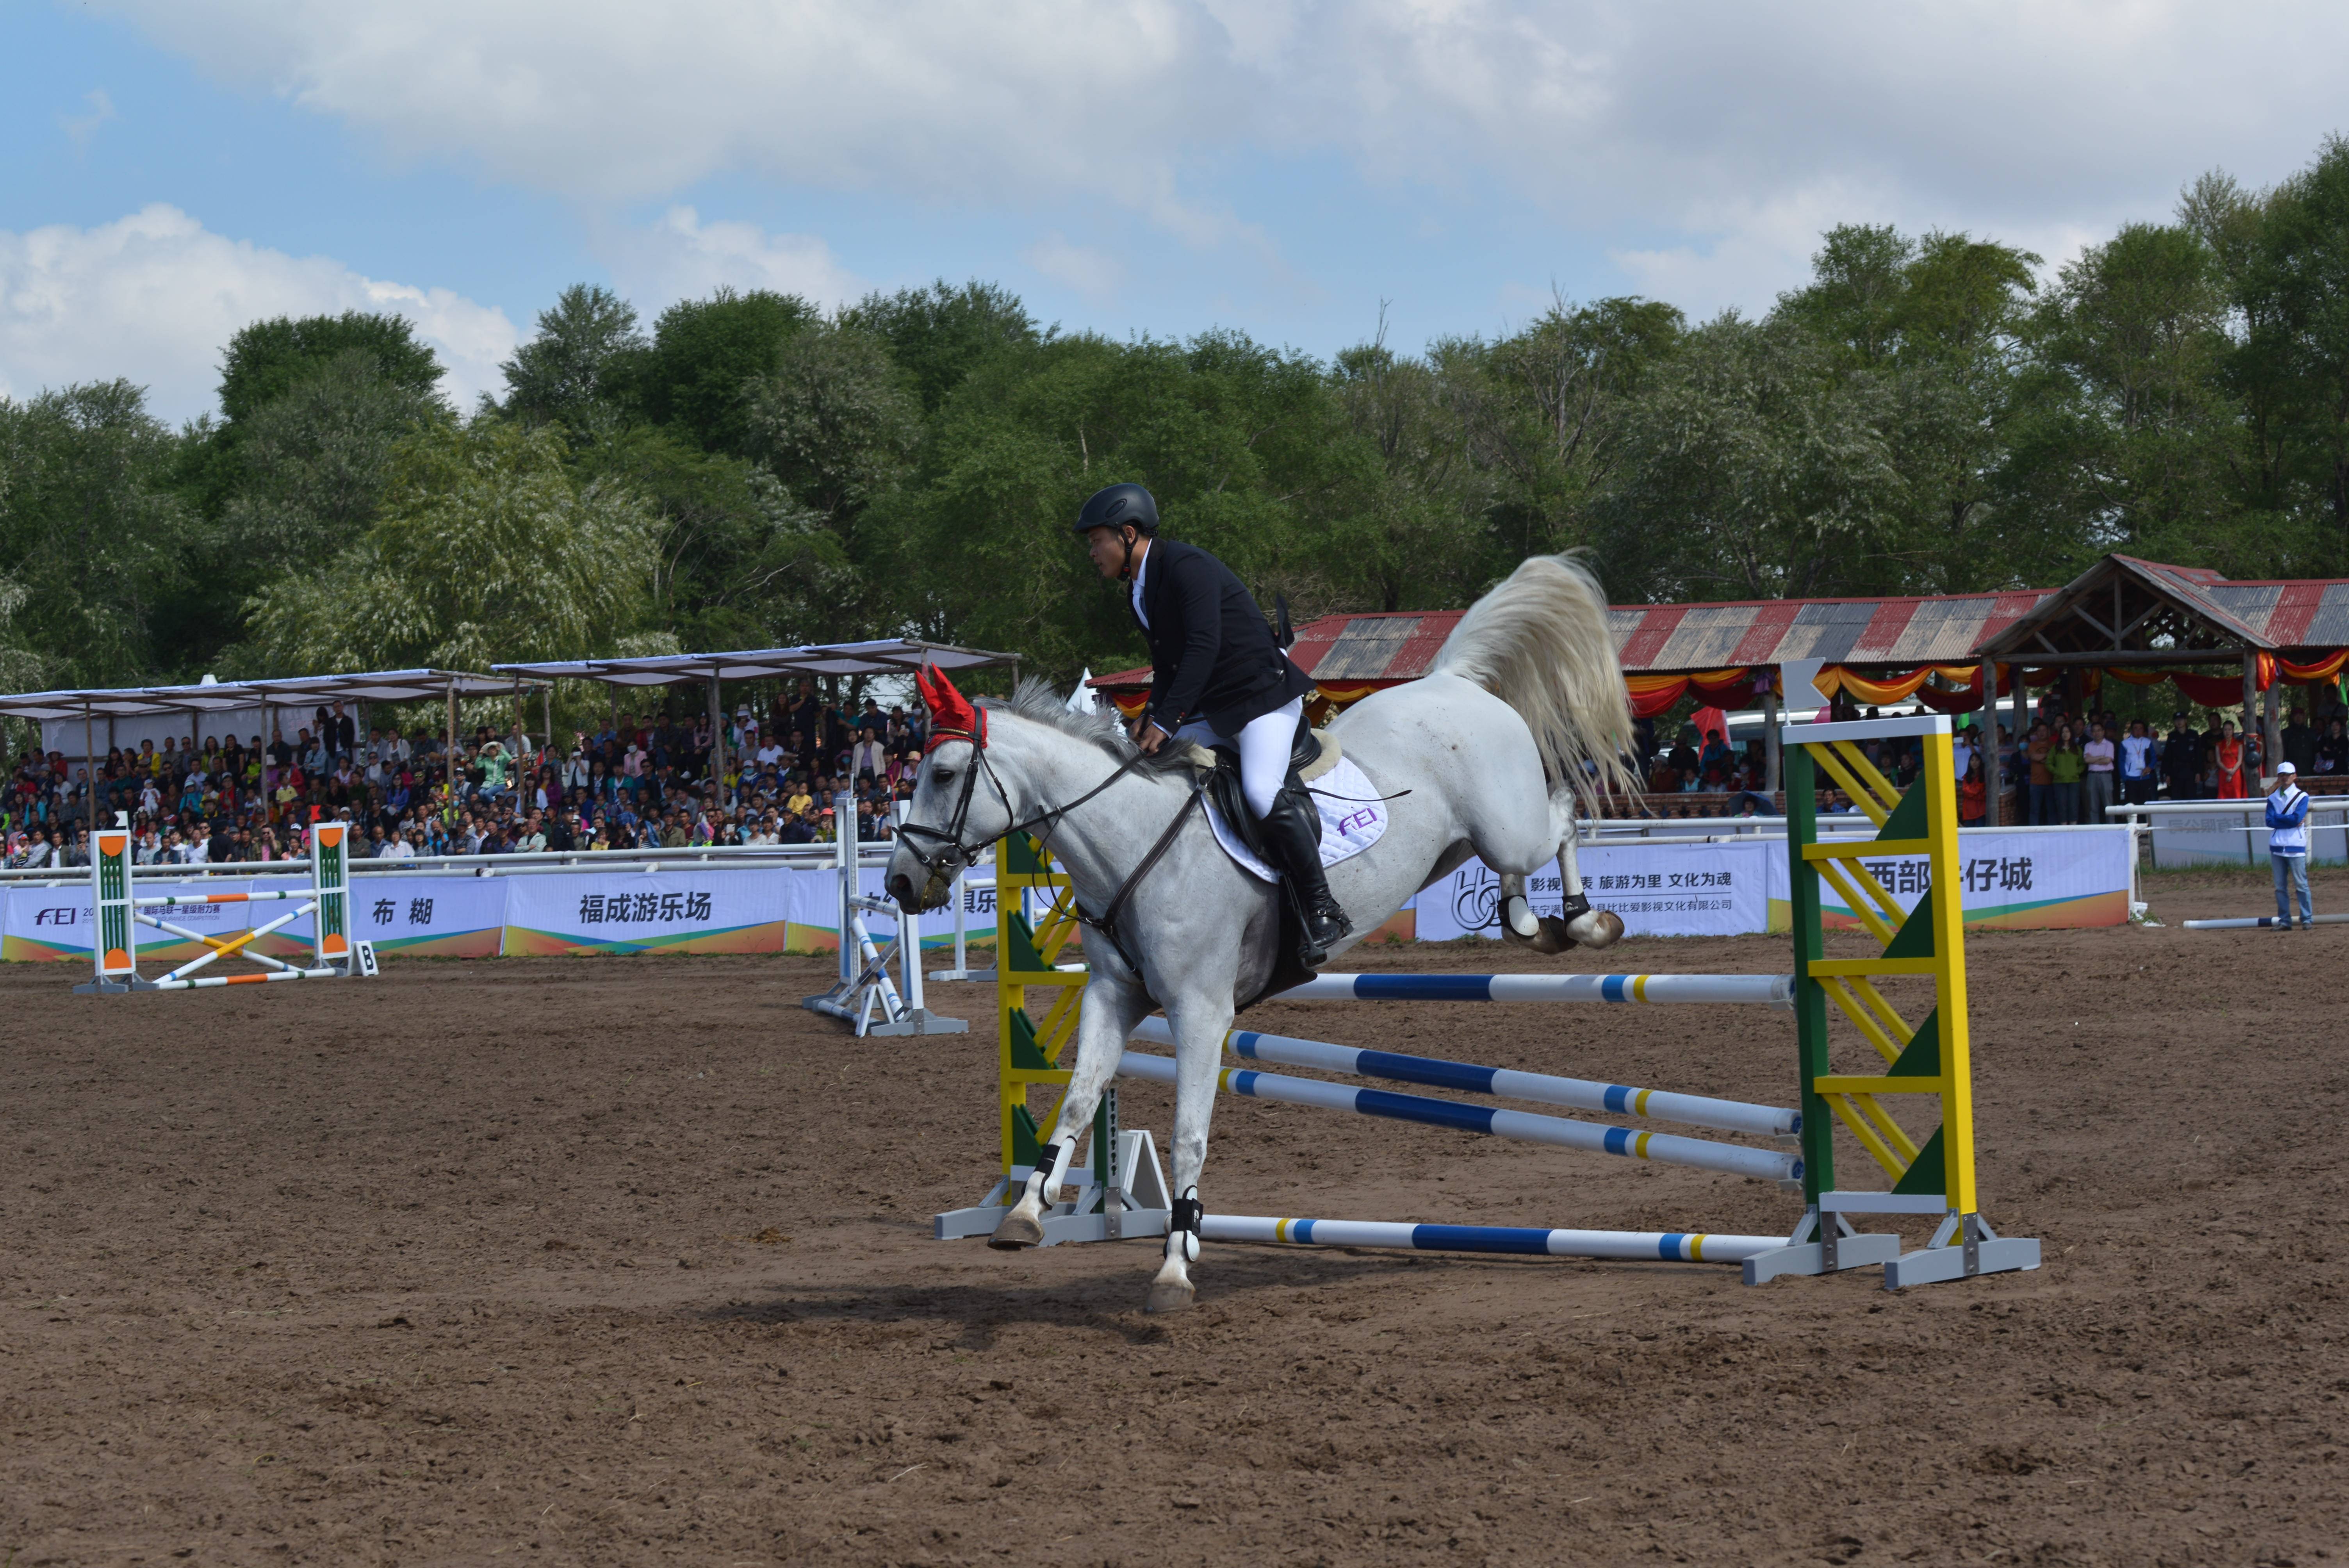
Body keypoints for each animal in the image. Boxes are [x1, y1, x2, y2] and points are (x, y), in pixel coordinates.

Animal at [888, 551, 1644, 1314]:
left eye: (944, 774)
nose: (899, 885)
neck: (1132, 842)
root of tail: (1452, 679)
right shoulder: (1111, 996)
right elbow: (1076, 1101)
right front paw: (1025, 1213)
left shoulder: (1200, 1014)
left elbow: (1188, 1137)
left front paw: (1174, 1266)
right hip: (1460, 845)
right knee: (1518, 858)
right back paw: (1526, 919)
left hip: (1510, 825)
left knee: (1564, 815)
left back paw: (1585, 919)